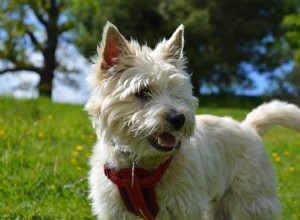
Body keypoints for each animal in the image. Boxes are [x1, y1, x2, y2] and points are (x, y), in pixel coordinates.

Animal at [85, 21, 300, 220]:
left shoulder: (185, 205)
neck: (138, 167)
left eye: (175, 90)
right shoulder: (114, 210)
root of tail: (248, 127)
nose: (178, 118)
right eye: (142, 92)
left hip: (253, 200)